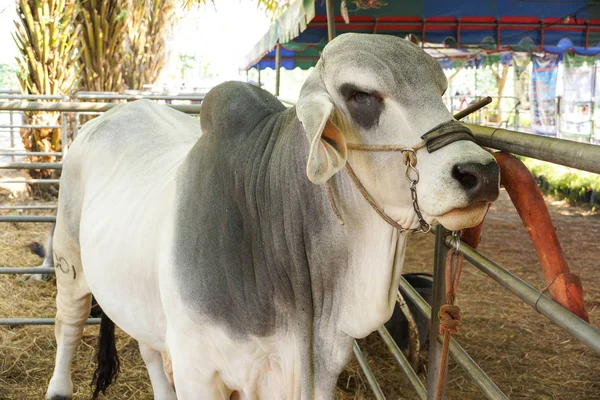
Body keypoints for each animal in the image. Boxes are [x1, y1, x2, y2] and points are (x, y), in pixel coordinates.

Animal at [44, 32, 500, 398]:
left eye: (440, 90)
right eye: (359, 95)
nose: (481, 172)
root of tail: (116, 111)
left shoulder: (317, 370)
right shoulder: (197, 370)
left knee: (146, 346)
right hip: (70, 260)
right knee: (67, 325)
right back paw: (59, 387)